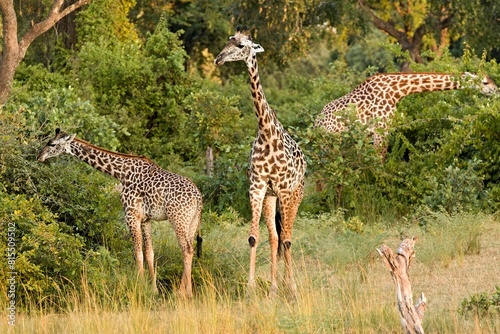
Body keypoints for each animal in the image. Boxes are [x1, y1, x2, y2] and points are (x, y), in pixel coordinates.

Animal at [36, 129, 203, 298]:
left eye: (52, 144)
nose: (39, 156)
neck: (121, 173)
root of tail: (198, 198)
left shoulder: (131, 215)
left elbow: (138, 252)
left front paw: (140, 287)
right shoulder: (145, 219)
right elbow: (149, 252)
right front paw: (153, 290)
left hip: (178, 219)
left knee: (186, 249)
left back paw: (183, 293)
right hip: (192, 221)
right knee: (189, 249)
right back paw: (185, 291)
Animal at [214, 26, 306, 298]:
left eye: (242, 46)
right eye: (229, 41)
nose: (218, 58)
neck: (266, 131)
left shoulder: (285, 188)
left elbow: (287, 239)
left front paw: (292, 289)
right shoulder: (257, 186)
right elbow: (254, 237)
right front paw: (250, 288)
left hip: (296, 194)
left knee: (287, 236)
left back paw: (288, 285)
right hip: (270, 196)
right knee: (275, 237)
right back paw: (275, 287)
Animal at [314, 72, 498, 155]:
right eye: (485, 82)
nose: (498, 90)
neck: (397, 91)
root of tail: (316, 124)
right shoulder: (381, 129)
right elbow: (379, 161)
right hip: (331, 142)